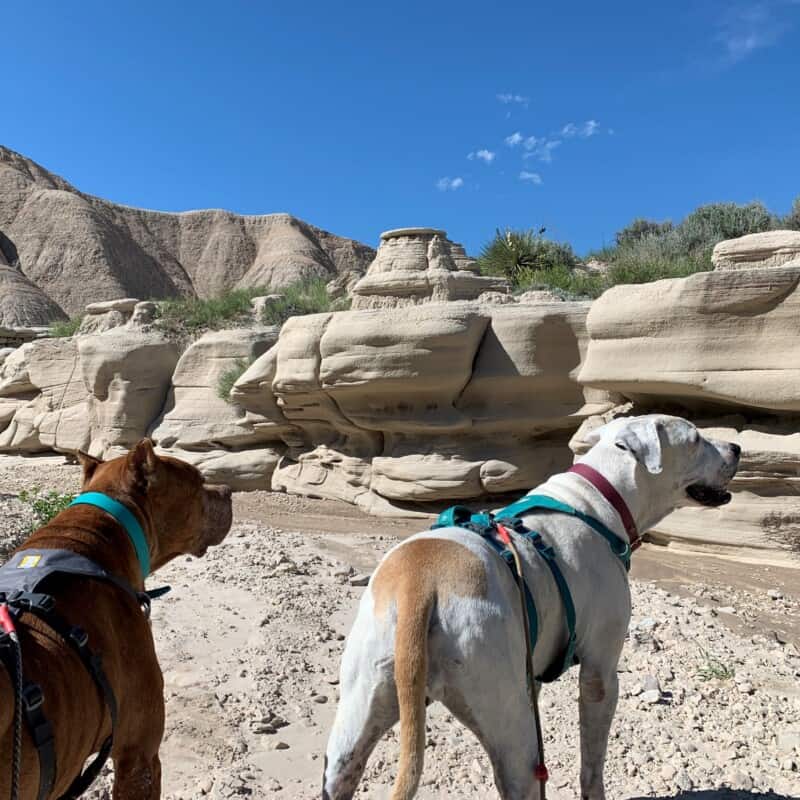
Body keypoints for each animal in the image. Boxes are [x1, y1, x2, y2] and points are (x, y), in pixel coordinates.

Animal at [318, 416, 736, 800]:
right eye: (696, 438)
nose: (735, 447)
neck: (597, 500)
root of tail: (420, 582)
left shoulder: (530, 673)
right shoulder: (600, 674)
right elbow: (592, 765)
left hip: (354, 725)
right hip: (513, 736)